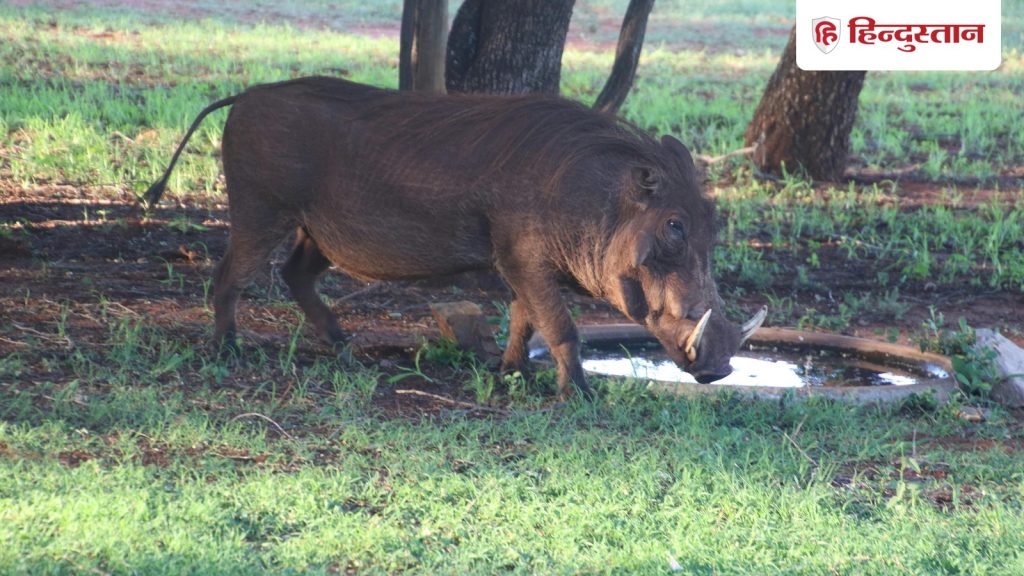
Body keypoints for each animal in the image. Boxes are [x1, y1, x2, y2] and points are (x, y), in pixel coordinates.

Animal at [143, 76, 764, 399]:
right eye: (674, 227)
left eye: (713, 222)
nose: (719, 369)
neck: (595, 200)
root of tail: (246, 94)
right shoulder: (524, 258)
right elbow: (560, 326)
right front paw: (579, 395)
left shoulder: (521, 263)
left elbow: (523, 319)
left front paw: (511, 373)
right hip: (260, 211)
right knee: (230, 276)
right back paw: (227, 348)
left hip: (318, 232)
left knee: (295, 276)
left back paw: (344, 346)